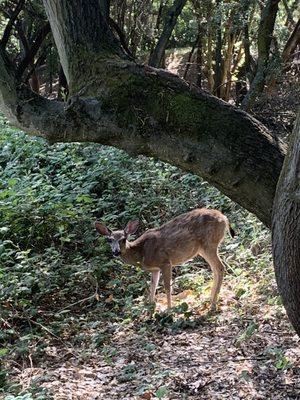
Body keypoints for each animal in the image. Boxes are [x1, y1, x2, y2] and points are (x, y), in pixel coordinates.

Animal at [95, 209, 236, 312]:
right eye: (109, 240)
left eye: (123, 239)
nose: (116, 252)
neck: (142, 253)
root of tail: (224, 218)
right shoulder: (155, 269)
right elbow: (152, 287)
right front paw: (150, 309)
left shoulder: (165, 262)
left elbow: (167, 288)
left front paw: (169, 309)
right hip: (202, 249)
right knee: (215, 269)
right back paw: (209, 300)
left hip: (209, 243)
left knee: (220, 267)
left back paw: (213, 305)